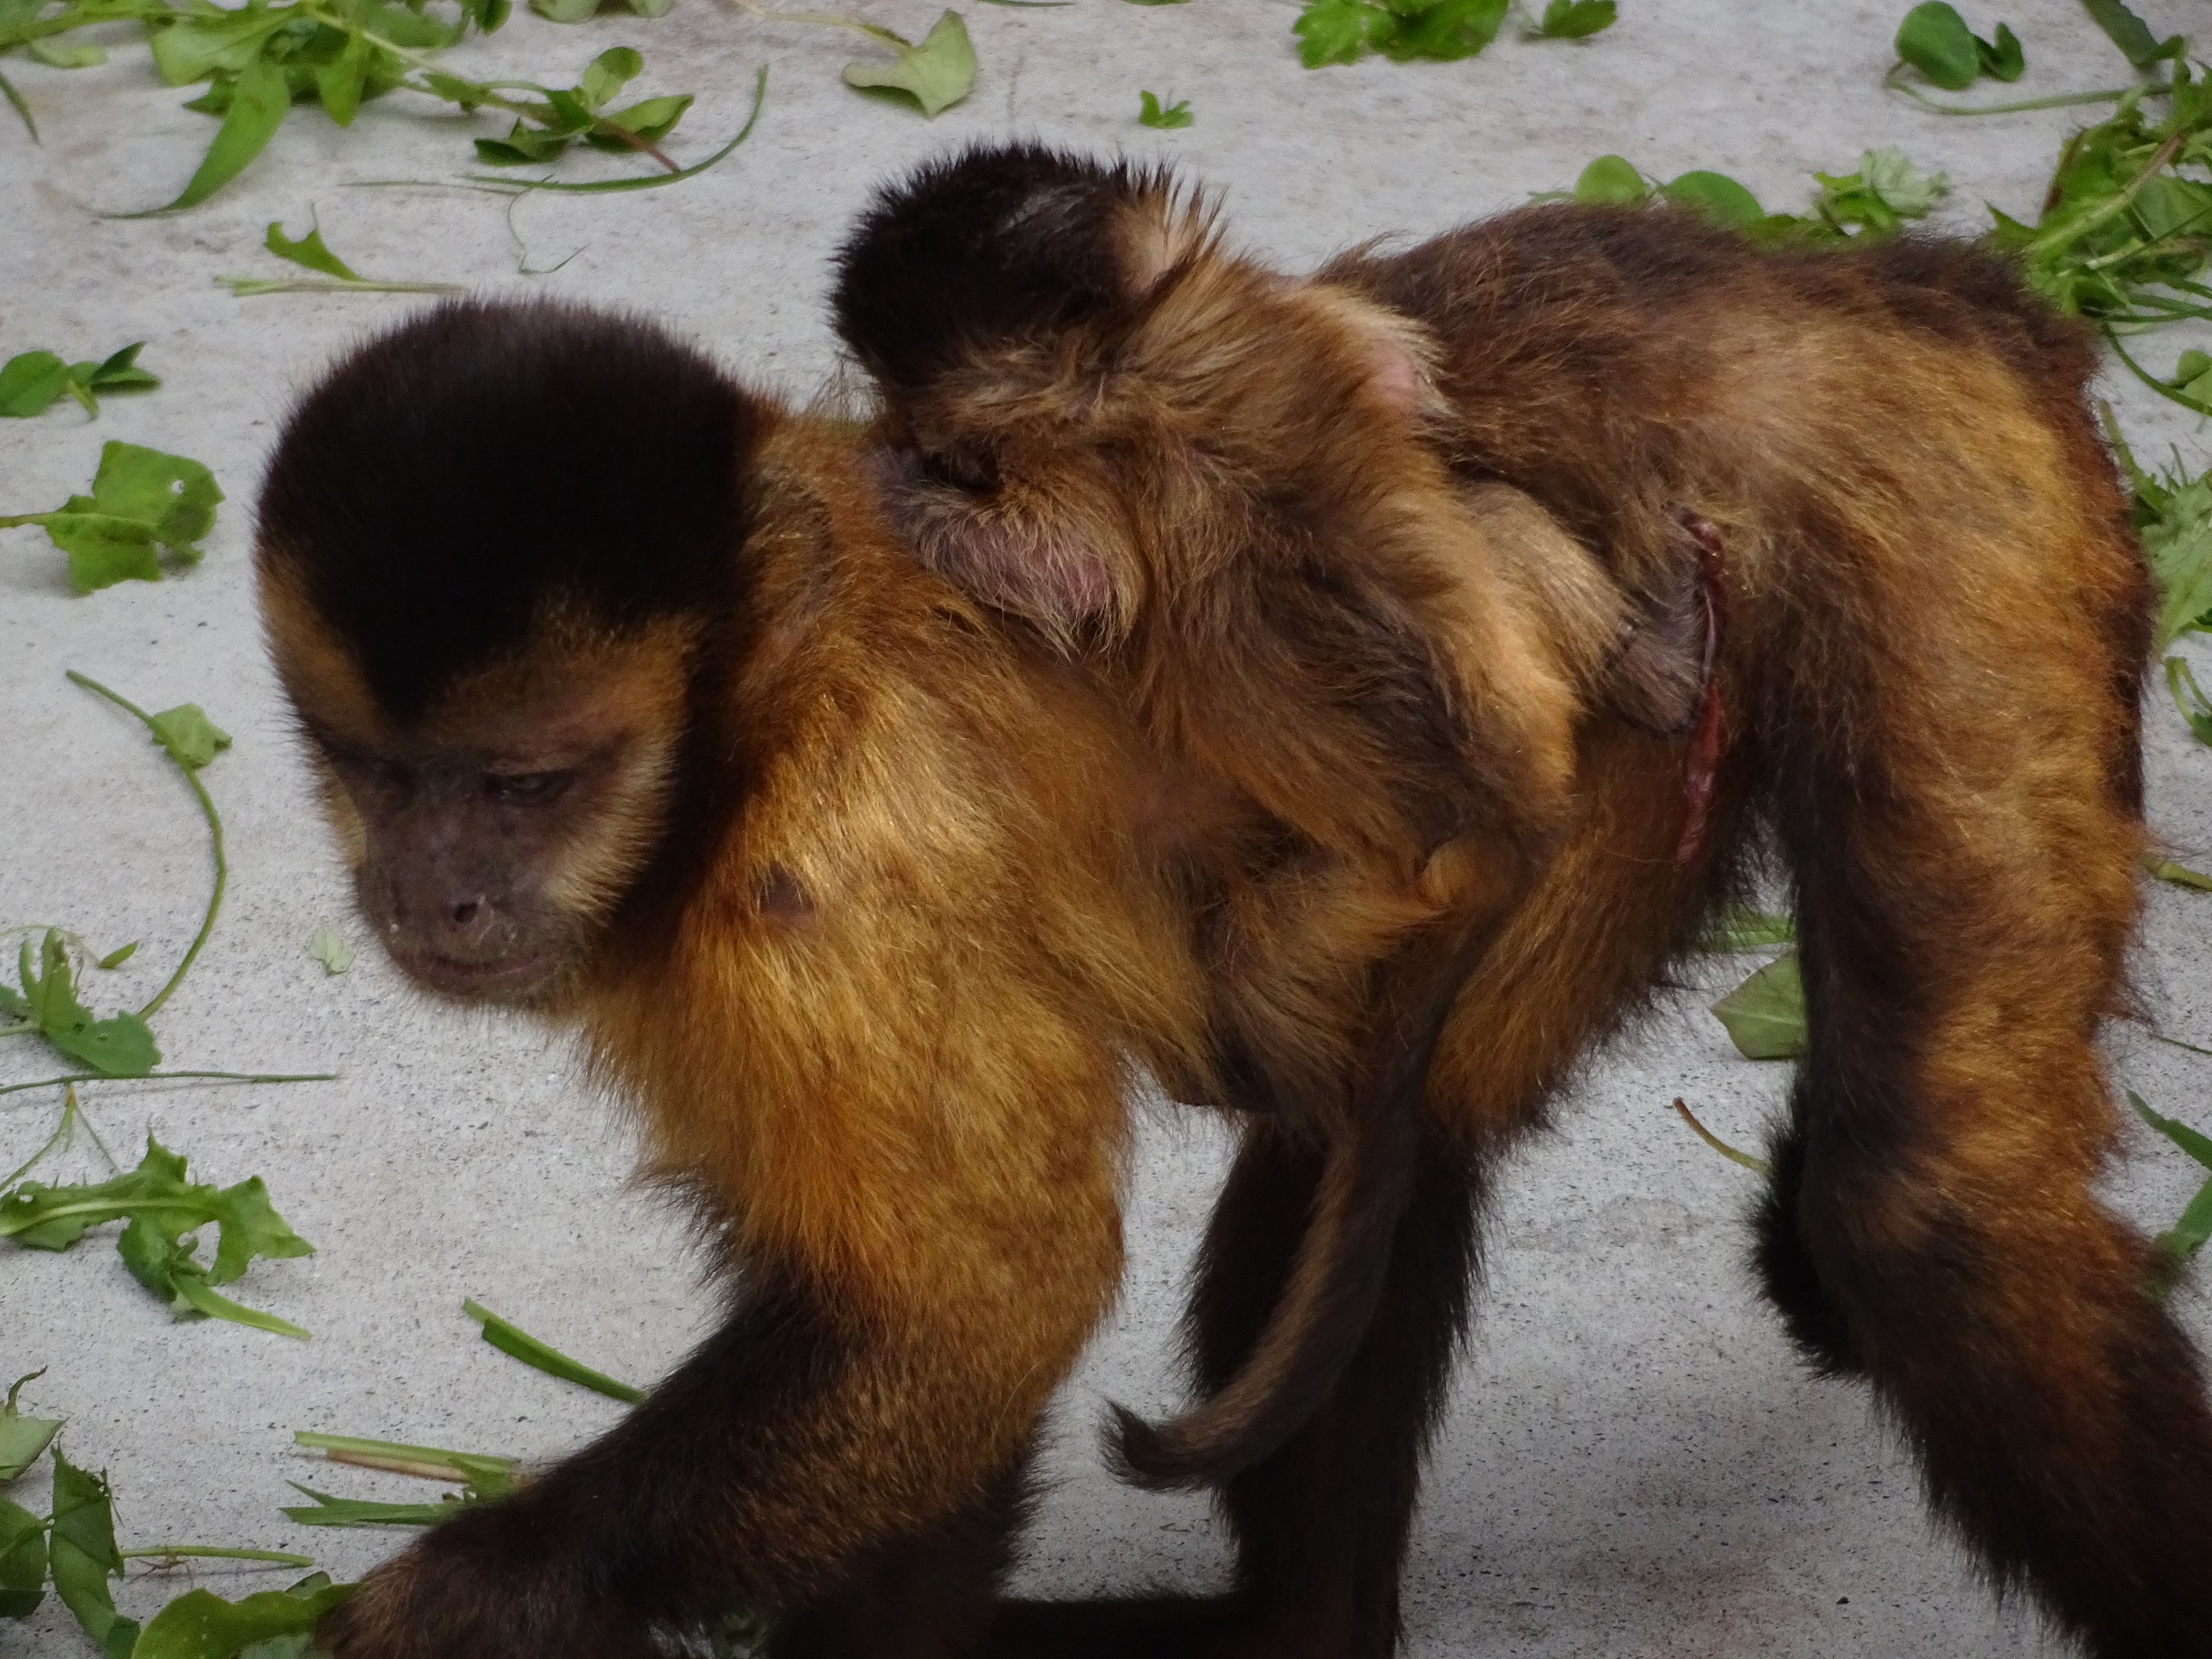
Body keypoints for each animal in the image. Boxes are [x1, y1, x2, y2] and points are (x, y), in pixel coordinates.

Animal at [258, 142, 2194, 1659]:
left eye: (524, 786)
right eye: (375, 770)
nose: (433, 896)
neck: (763, 696)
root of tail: (1843, 277)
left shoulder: (822, 893)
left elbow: (975, 1306)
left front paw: (468, 1600)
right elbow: (920, 1340)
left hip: (1940, 506)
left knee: (1917, 1205)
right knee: (1383, 1127)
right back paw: (1296, 1628)